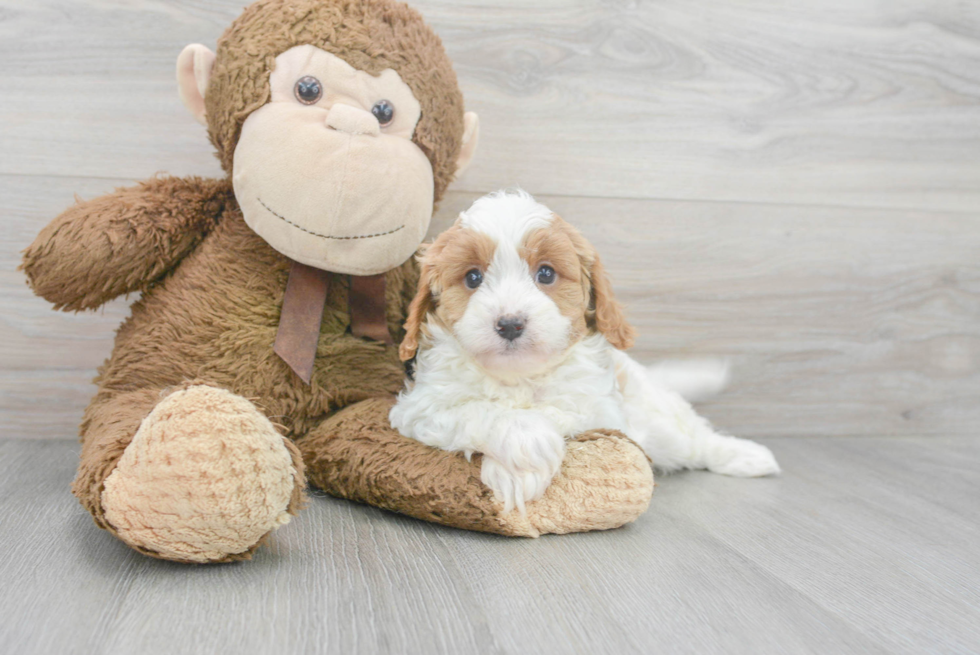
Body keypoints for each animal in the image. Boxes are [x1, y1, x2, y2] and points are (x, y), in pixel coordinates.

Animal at [390, 190, 780, 512]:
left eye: (546, 274)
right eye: (472, 278)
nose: (510, 324)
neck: (519, 377)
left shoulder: (602, 412)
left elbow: (559, 412)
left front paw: (519, 468)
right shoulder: (420, 408)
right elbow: (480, 410)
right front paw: (523, 452)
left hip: (660, 420)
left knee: (696, 439)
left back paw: (746, 456)